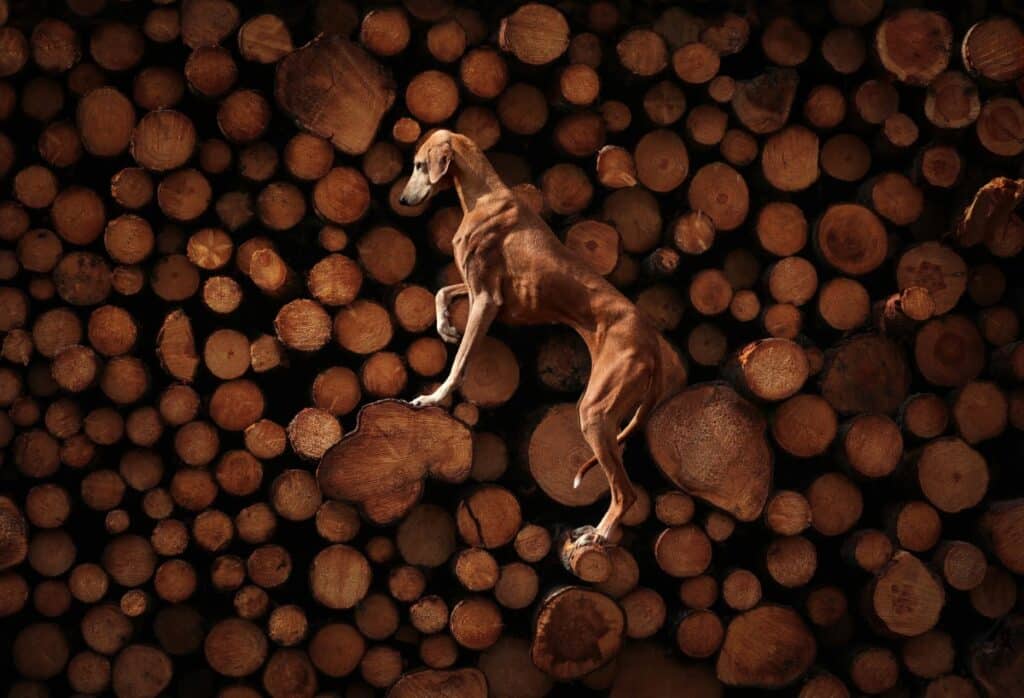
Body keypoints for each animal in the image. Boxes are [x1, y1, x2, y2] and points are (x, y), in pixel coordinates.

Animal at [401, 130, 688, 544]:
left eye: (419, 165)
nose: (403, 200)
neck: (483, 195)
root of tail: (650, 341)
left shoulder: (486, 300)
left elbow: (459, 364)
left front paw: (434, 398)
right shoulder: (483, 295)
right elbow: (441, 292)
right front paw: (444, 326)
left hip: (595, 412)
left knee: (625, 492)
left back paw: (598, 534)